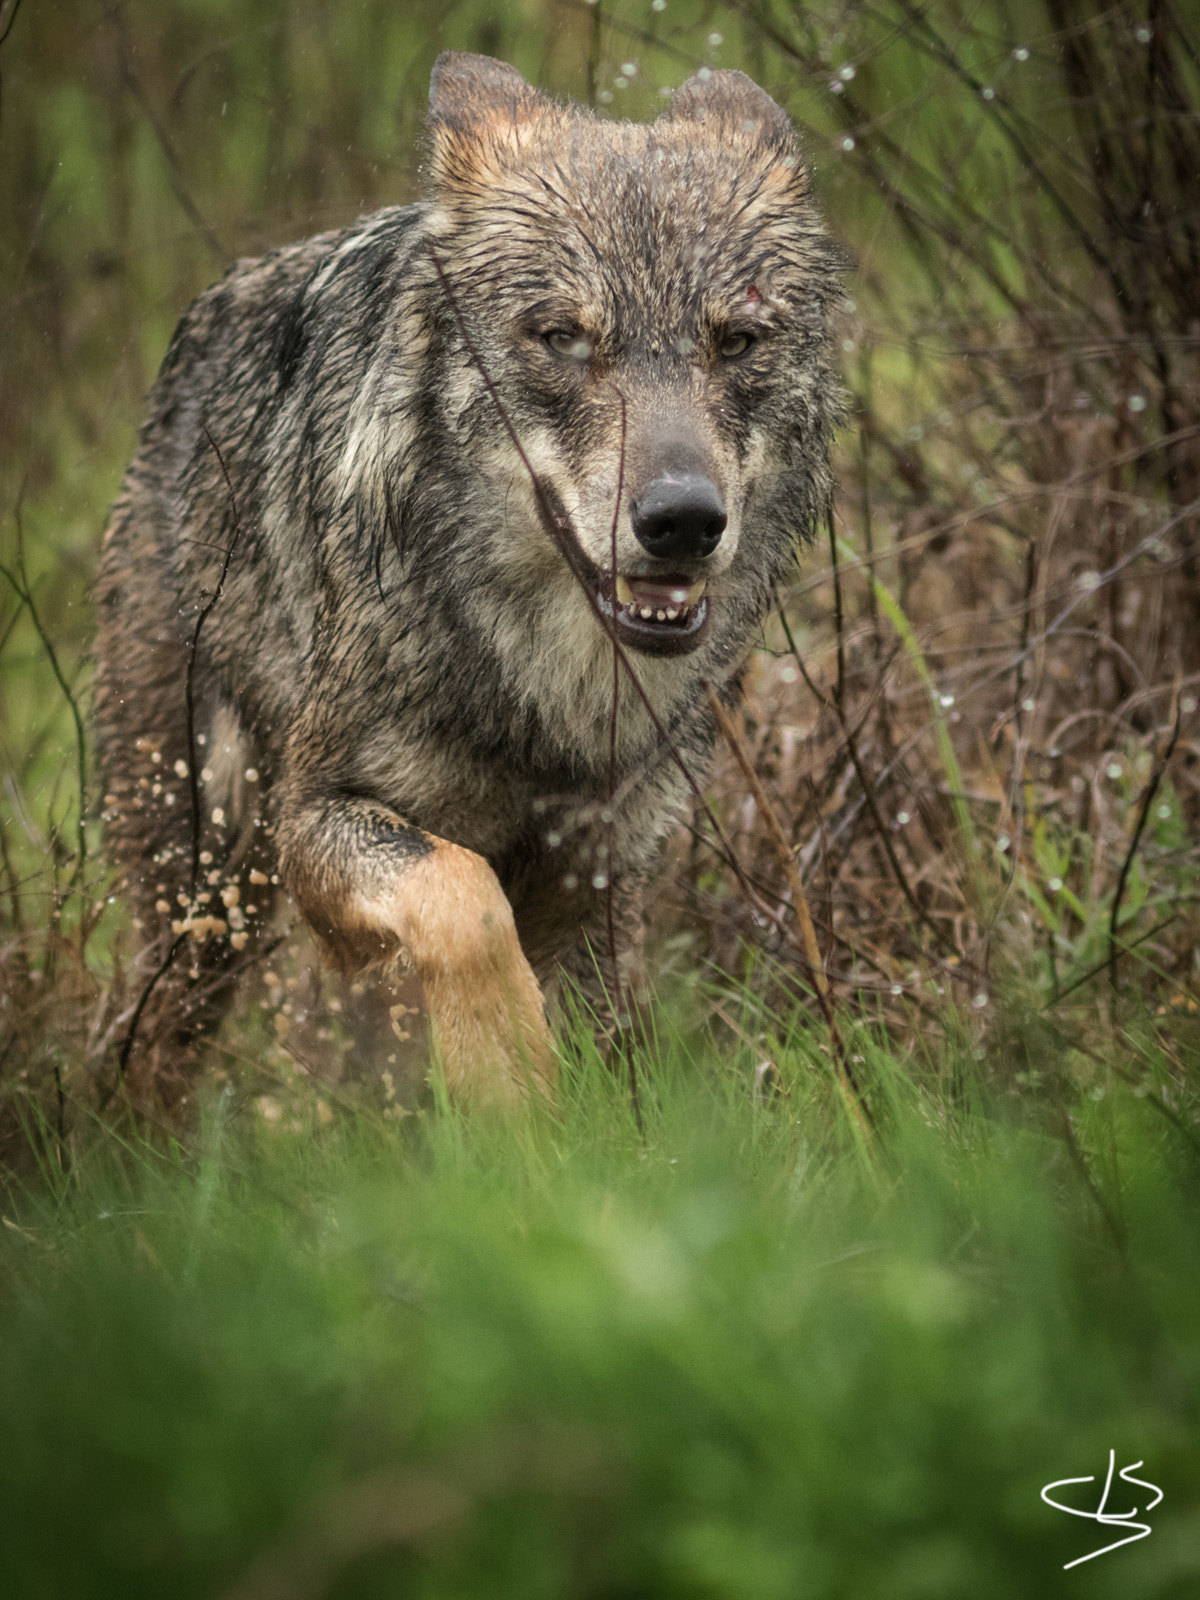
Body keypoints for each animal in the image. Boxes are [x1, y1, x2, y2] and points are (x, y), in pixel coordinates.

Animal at [93, 52, 843, 1111]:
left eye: (736, 342)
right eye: (563, 337)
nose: (684, 522)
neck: (548, 702)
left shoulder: (600, 880)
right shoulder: (312, 819)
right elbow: (461, 896)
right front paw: (508, 1088)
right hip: (203, 893)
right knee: (147, 1045)